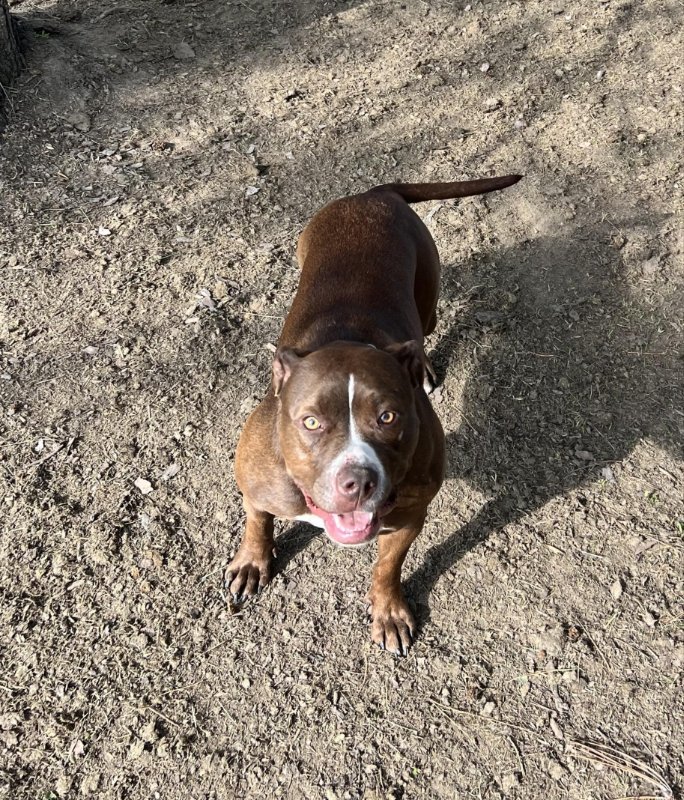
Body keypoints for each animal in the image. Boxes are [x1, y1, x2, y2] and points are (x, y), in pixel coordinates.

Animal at [224, 172, 520, 652]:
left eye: (388, 417)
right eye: (311, 422)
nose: (358, 481)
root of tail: (374, 194)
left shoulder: (410, 518)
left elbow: (387, 567)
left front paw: (390, 611)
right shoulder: (258, 487)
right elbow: (257, 521)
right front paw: (253, 560)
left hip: (428, 297)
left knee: (422, 335)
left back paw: (424, 367)